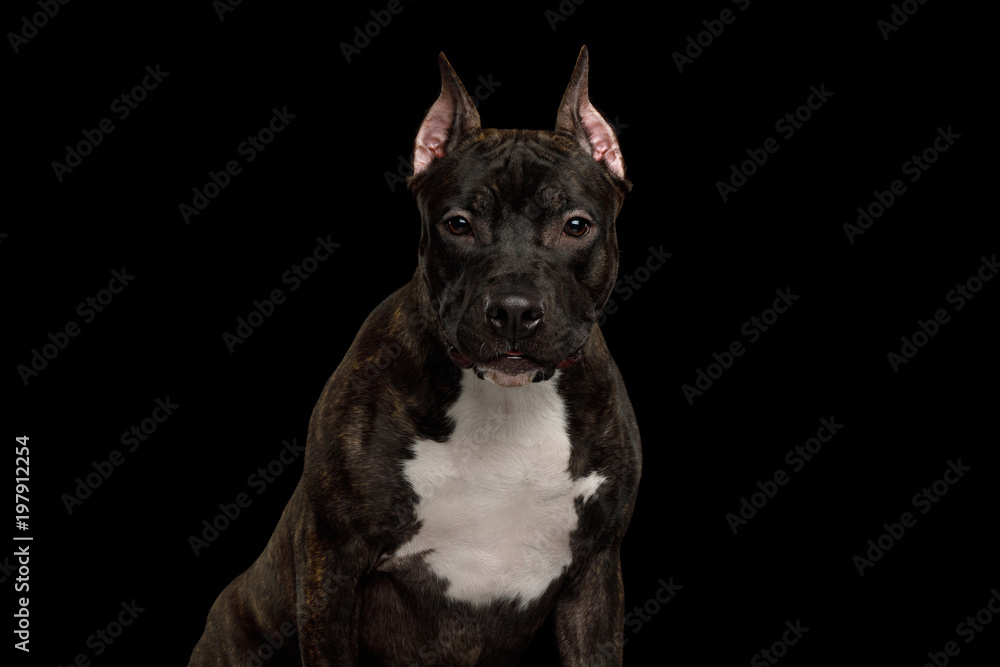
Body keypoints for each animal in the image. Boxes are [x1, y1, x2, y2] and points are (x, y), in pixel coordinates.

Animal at [188, 44, 640, 664]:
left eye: (576, 226)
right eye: (458, 224)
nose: (514, 310)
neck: (506, 404)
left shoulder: (595, 575)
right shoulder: (332, 562)